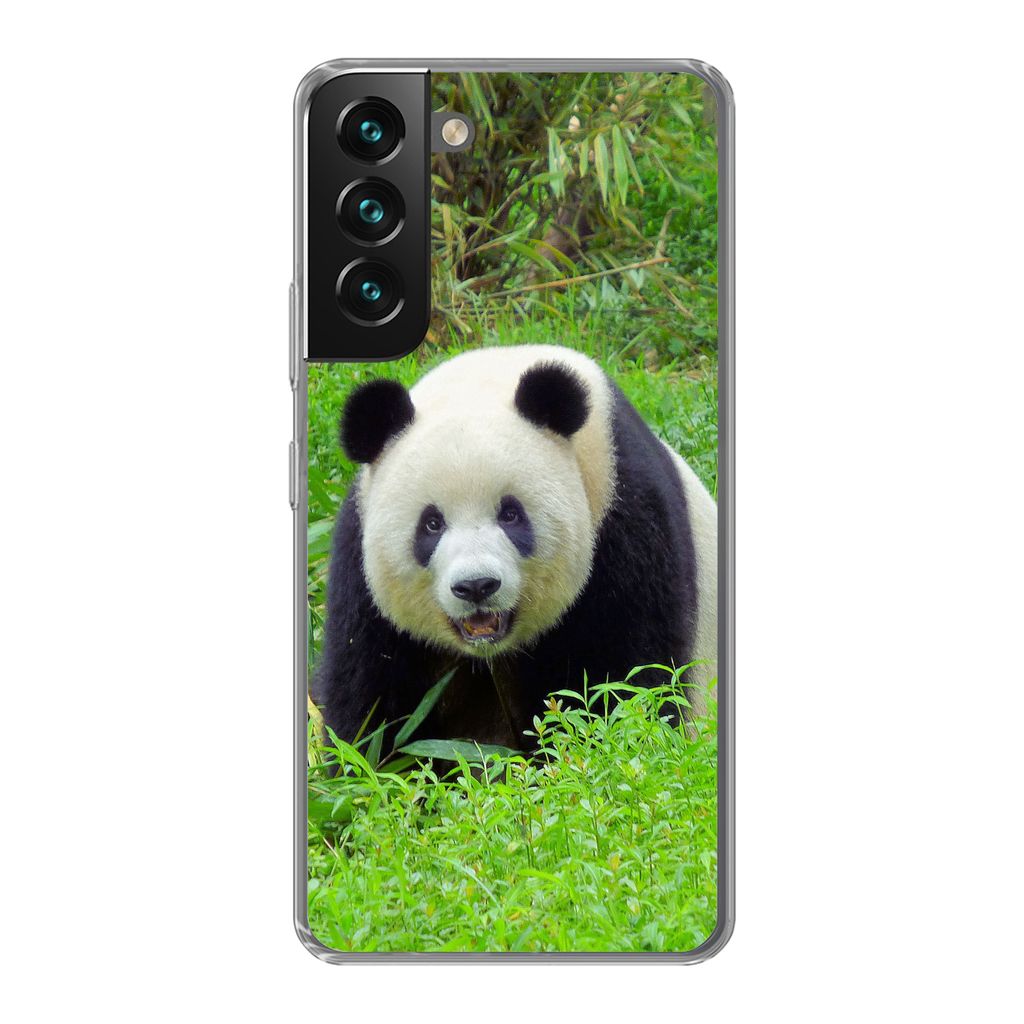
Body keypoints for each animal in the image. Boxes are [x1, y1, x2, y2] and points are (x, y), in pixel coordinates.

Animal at [313, 345, 717, 750]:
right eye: (431, 523)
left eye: (510, 514)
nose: (476, 586)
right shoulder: (360, 565)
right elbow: (371, 699)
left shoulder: (625, 520)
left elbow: (629, 676)